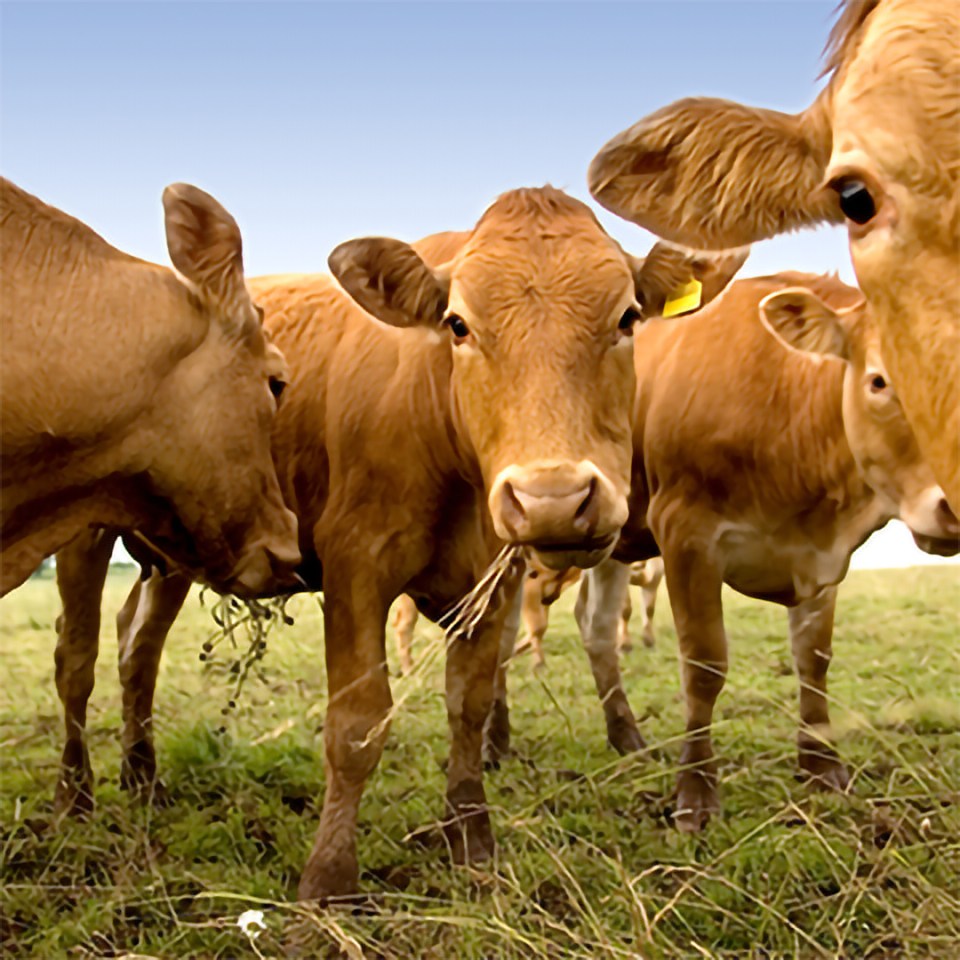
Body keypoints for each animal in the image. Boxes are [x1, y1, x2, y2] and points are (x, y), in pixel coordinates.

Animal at [50, 189, 752, 900]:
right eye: (458, 325)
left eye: (629, 317)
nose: (552, 498)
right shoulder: (355, 564)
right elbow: (357, 722)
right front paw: (330, 876)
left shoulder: (493, 582)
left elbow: (469, 706)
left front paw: (472, 840)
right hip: (82, 532)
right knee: (76, 661)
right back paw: (75, 797)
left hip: (175, 552)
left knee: (138, 649)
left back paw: (143, 778)